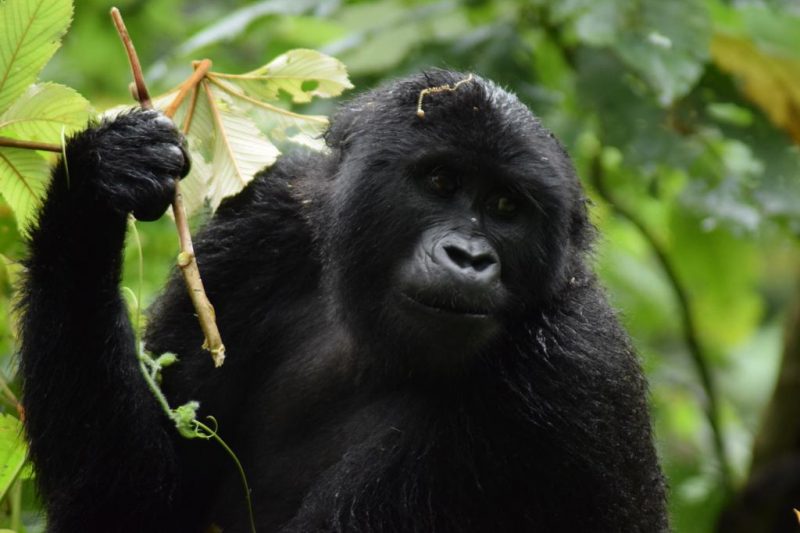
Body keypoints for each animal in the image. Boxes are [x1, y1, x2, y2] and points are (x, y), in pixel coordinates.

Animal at [18, 71, 668, 532]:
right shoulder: (262, 225)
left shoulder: (570, 368)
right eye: (440, 182)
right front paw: (98, 181)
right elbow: (134, 506)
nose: (468, 257)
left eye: (507, 207)